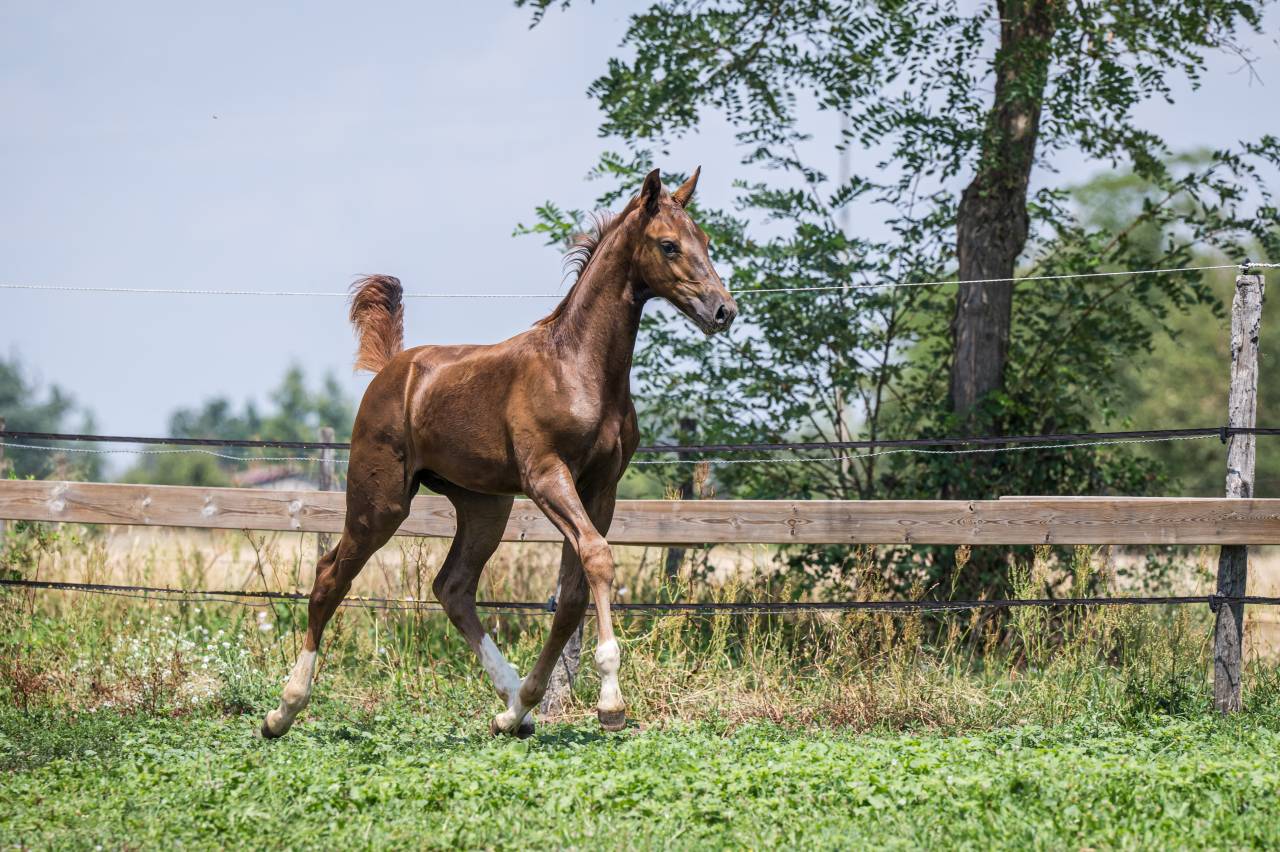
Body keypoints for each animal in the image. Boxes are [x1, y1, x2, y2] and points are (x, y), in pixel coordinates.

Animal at [261, 167, 736, 739]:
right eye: (668, 245)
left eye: (705, 241)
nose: (723, 310)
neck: (579, 367)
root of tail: (392, 368)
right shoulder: (547, 476)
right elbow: (598, 558)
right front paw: (610, 701)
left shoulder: (601, 486)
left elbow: (574, 591)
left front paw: (531, 699)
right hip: (380, 501)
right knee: (330, 576)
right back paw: (283, 709)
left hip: (484, 505)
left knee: (453, 587)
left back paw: (512, 708)